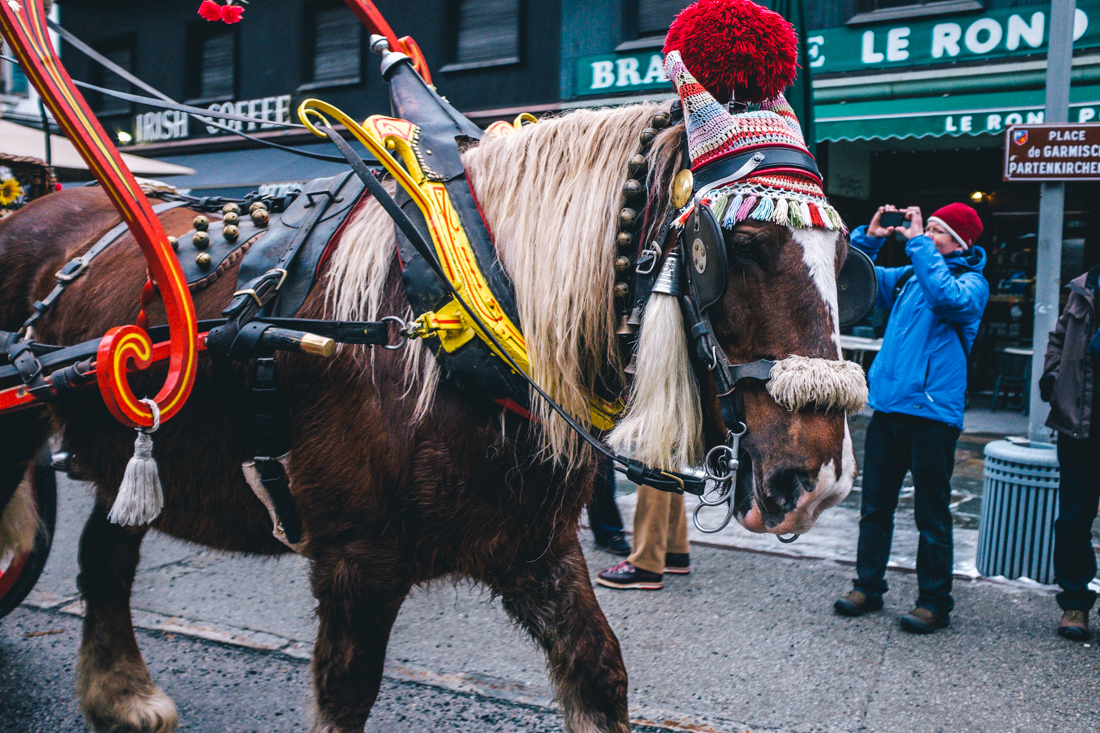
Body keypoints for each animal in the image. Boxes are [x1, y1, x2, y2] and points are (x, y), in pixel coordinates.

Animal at [0, 98, 853, 730]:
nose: (818, 482)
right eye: (739, 243)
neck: (458, 316)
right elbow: (345, 695)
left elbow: (600, 671)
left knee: (105, 551)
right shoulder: (356, 562)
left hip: (129, 455)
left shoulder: (536, 547)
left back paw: (120, 692)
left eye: (847, 258)